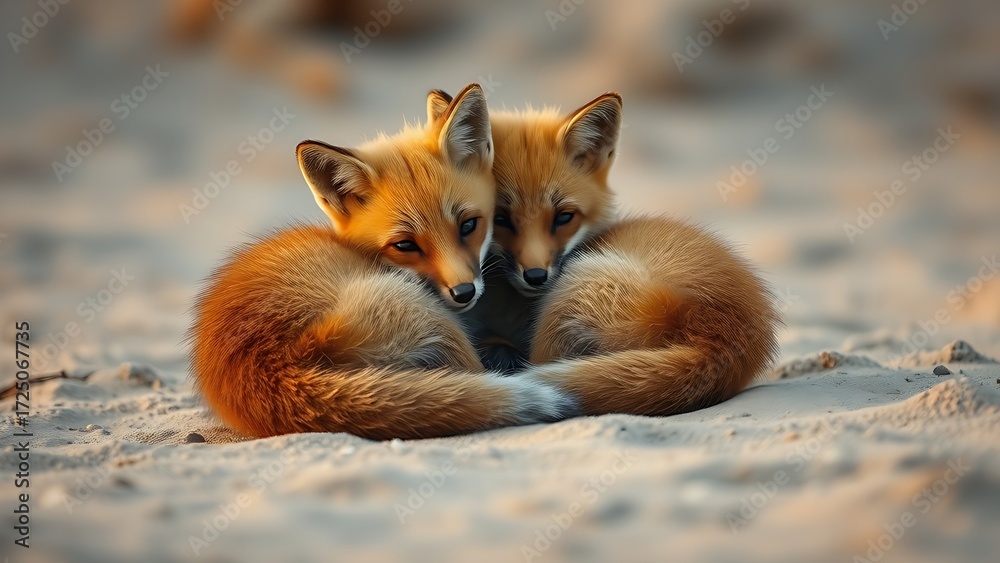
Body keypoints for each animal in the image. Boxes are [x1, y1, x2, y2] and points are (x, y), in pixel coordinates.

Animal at [188, 84, 574, 440]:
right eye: (404, 245)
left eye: (468, 225)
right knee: (477, 371)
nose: (464, 292)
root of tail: (274, 368)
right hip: (424, 313)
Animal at [428, 88, 781, 416]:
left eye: (564, 217)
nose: (536, 277)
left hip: (569, 295)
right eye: (500, 219)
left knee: (538, 362)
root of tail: (719, 338)